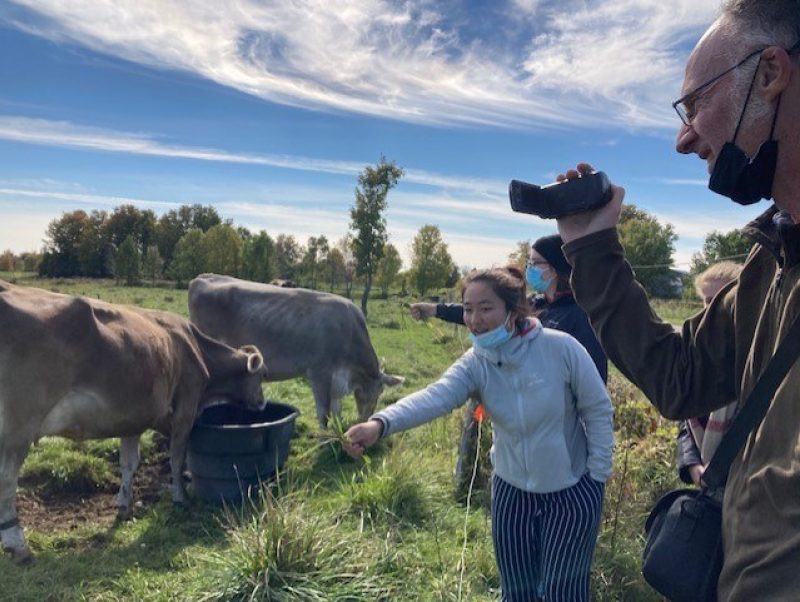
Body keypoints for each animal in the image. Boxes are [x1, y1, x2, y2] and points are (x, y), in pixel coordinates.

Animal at [0, 278, 268, 560]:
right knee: (7, 477)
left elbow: (129, 463)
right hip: (20, 423)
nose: (262, 403)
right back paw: (16, 542)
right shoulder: (186, 406)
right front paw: (180, 497)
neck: (196, 348)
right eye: (262, 374)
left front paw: (123, 505)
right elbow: (176, 456)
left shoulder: (133, 417)